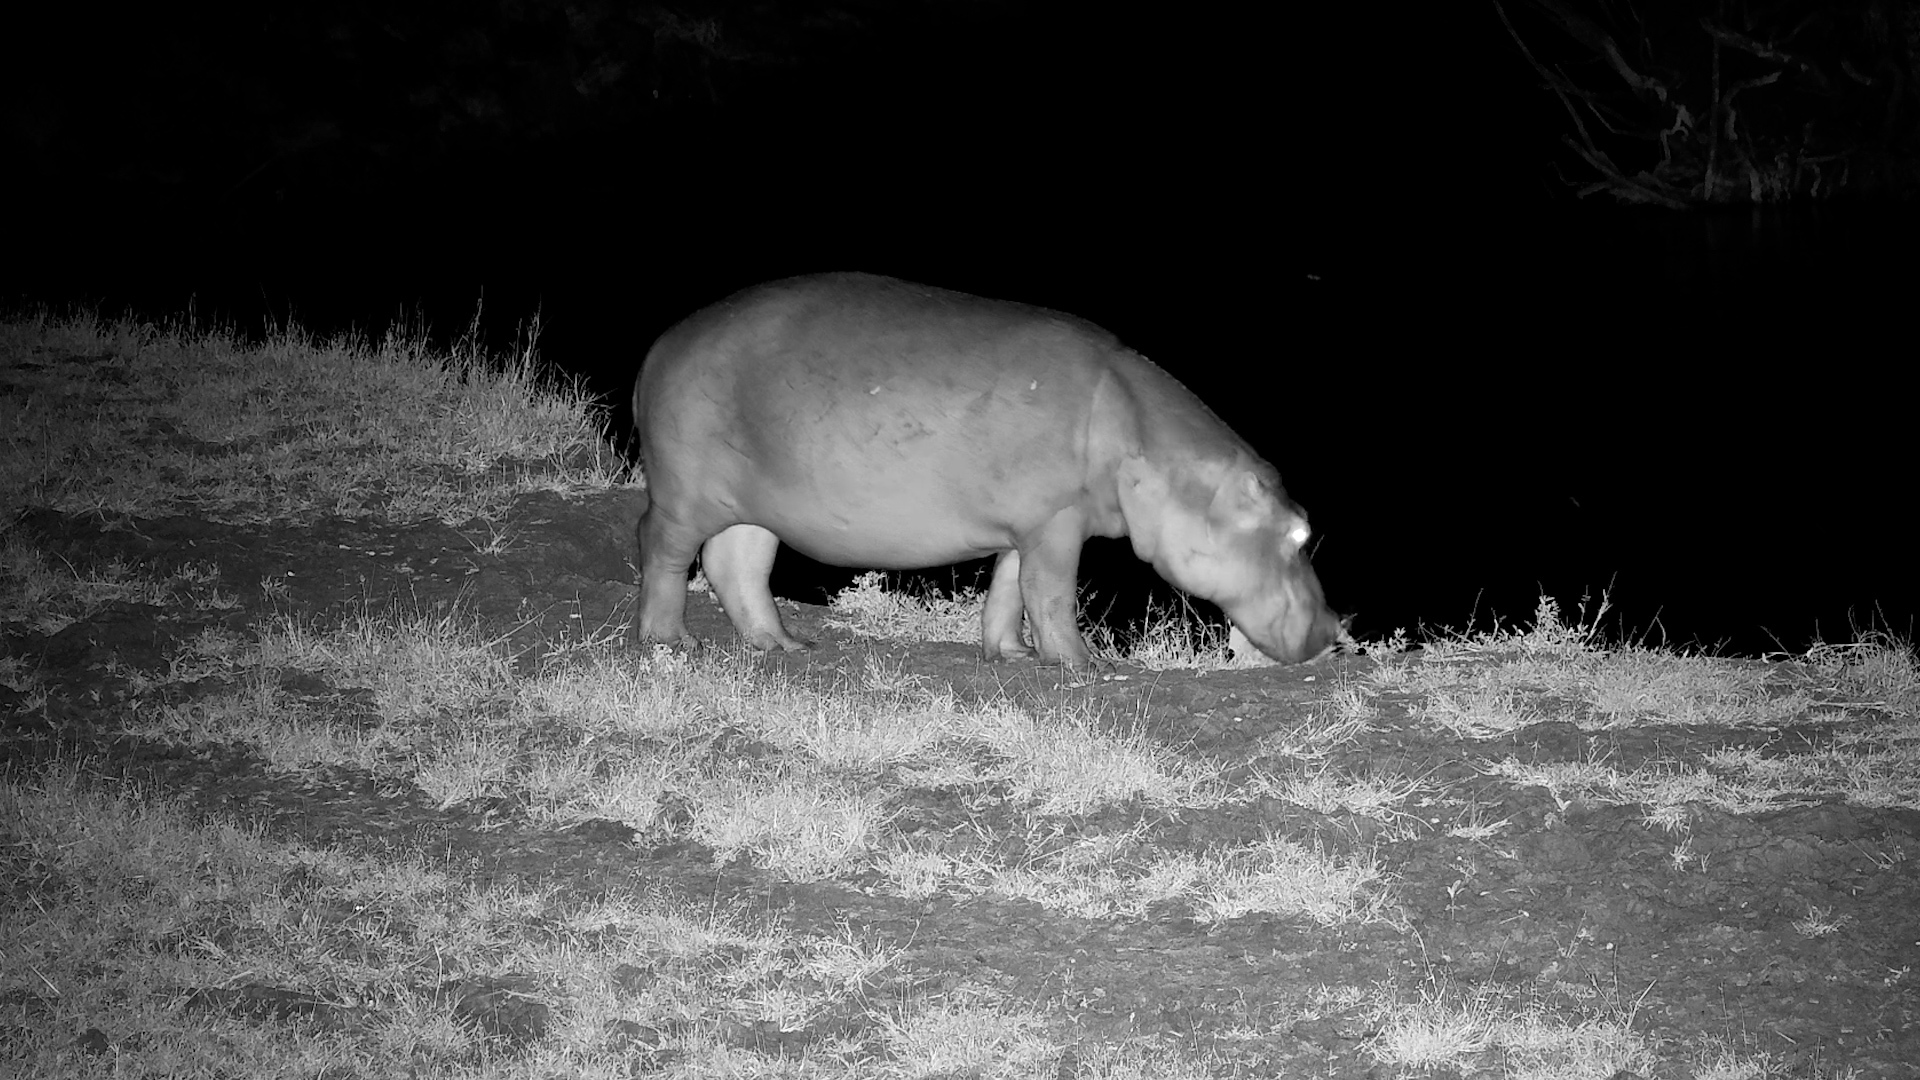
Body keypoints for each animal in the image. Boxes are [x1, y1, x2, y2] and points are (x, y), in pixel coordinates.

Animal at [631, 272, 1339, 669]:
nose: (1337, 631)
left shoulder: (1029, 526)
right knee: (662, 551)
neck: (1148, 442)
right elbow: (1050, 593)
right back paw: (670, 643)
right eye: (1300, 532)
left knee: (736, 564)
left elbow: (1009, 590)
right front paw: (1082, 665)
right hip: (683, 494)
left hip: (753, 504)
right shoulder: (1057, 521)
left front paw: (1013, 655)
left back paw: (784, 646)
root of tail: (659, 348)